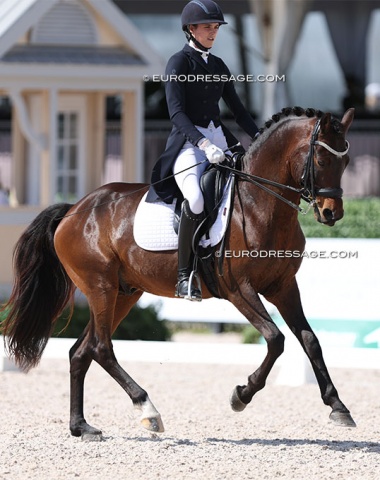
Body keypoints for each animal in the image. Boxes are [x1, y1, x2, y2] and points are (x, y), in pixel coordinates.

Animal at [1, 108, 354, 438]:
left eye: (346, 161)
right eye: (321, 159)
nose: (331, 214)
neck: (259, 205)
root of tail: (73, 210)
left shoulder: (284, 286)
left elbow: (310, 340)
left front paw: (338, 407)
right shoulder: (239, 289)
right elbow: (275, 339)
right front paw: (242, 394)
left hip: (123, 294)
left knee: (80, 351)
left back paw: (81, 426)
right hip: (100, 288)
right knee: (101, 348)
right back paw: (148, 409)